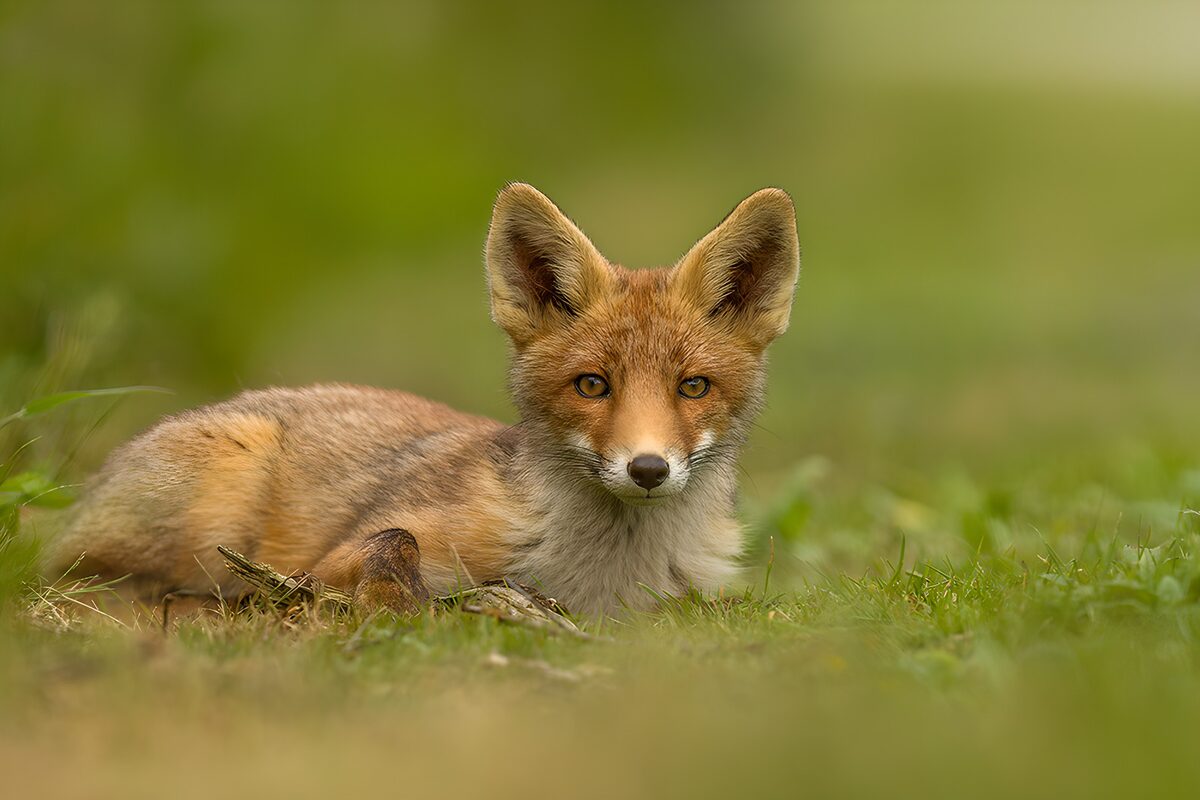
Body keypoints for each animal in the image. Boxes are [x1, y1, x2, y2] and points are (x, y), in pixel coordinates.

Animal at [47, 183, 801, 618]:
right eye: (593, 385)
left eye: (692, 387)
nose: (647, 469)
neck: (601, 578)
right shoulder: (341, 552)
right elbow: (392, 541)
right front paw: (396, 606)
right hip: (220, 493)